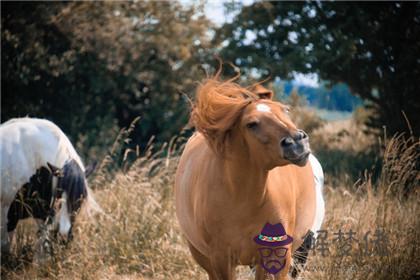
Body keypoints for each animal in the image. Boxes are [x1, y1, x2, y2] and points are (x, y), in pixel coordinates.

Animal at [174, 76, 324, 280]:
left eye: (285, 110)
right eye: (251, 124)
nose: (296, 142)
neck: (244, 198)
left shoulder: (277, 254)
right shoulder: (221, 259)